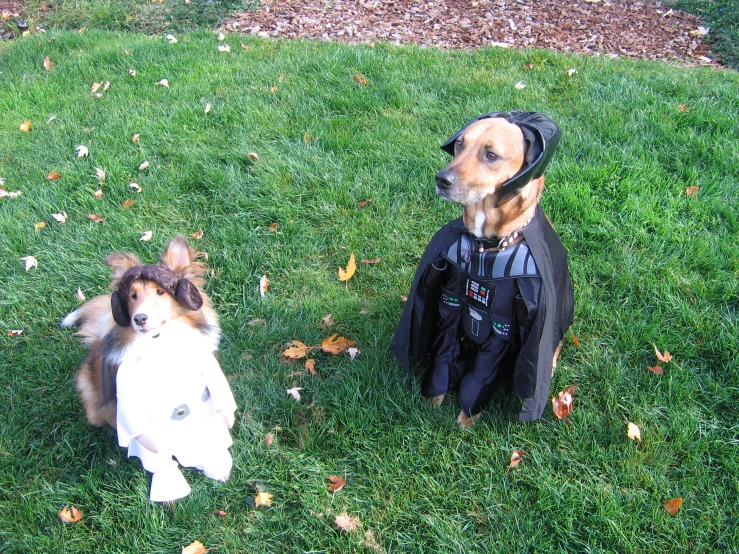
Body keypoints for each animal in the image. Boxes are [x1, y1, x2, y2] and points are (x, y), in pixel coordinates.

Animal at [390, 110, 576, 424]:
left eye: (491, 155)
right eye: (459, 144)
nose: (441, 179)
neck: (486, 246)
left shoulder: (503, 324)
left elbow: (483, 371)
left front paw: (469, 412)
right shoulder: (450, 302)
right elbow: (444, 352)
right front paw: (435, 394)